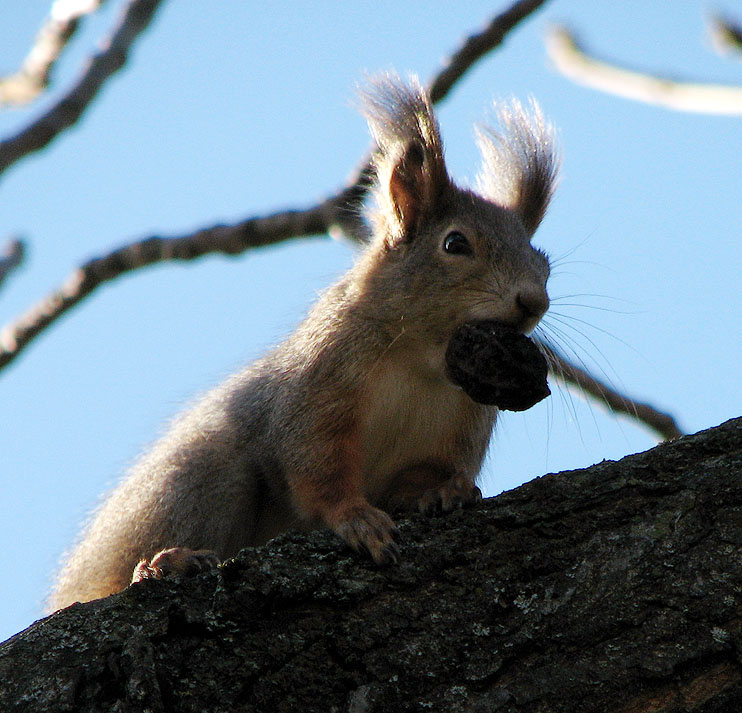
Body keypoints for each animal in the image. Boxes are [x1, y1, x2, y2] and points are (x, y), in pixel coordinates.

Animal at [48, 74, 559, 611]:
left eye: (544, 264)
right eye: (455, 244)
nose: (534, 301)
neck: (422, 360)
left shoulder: (462, 426)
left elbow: (430, 473)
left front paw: (448, 491)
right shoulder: (318, 386)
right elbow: (315, 465)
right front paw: (357, 519)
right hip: (200, 476)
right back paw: (162, 564)